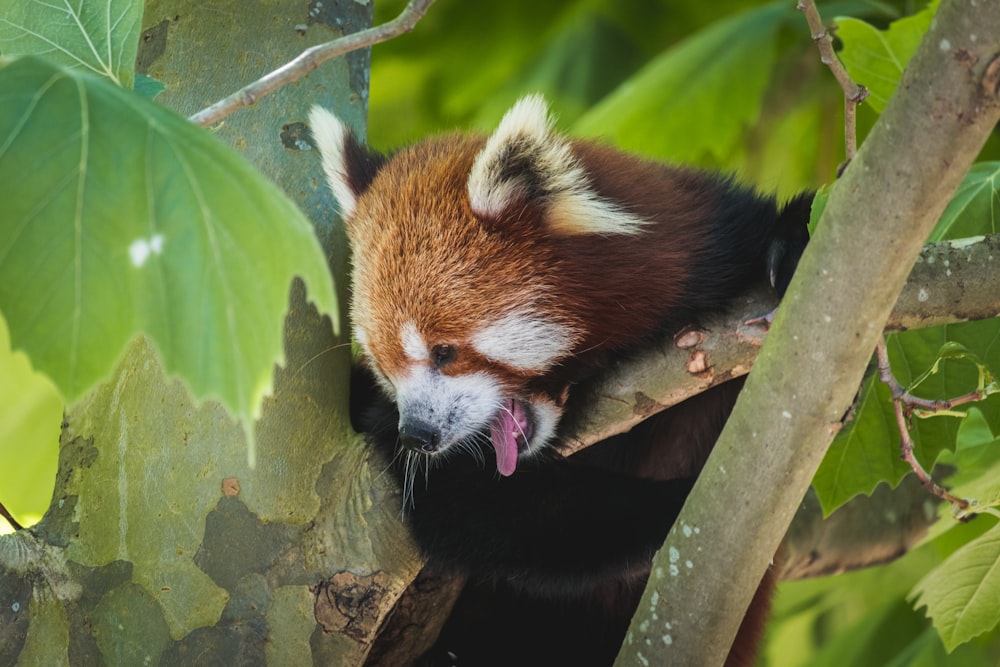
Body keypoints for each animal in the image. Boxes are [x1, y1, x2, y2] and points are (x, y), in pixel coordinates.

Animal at [310, 95, 812, 667]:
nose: (416, 435)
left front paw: (794, 242)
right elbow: (481, 509)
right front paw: (674, 506)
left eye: (443, 352)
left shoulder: (713, 244)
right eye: (385, 365)